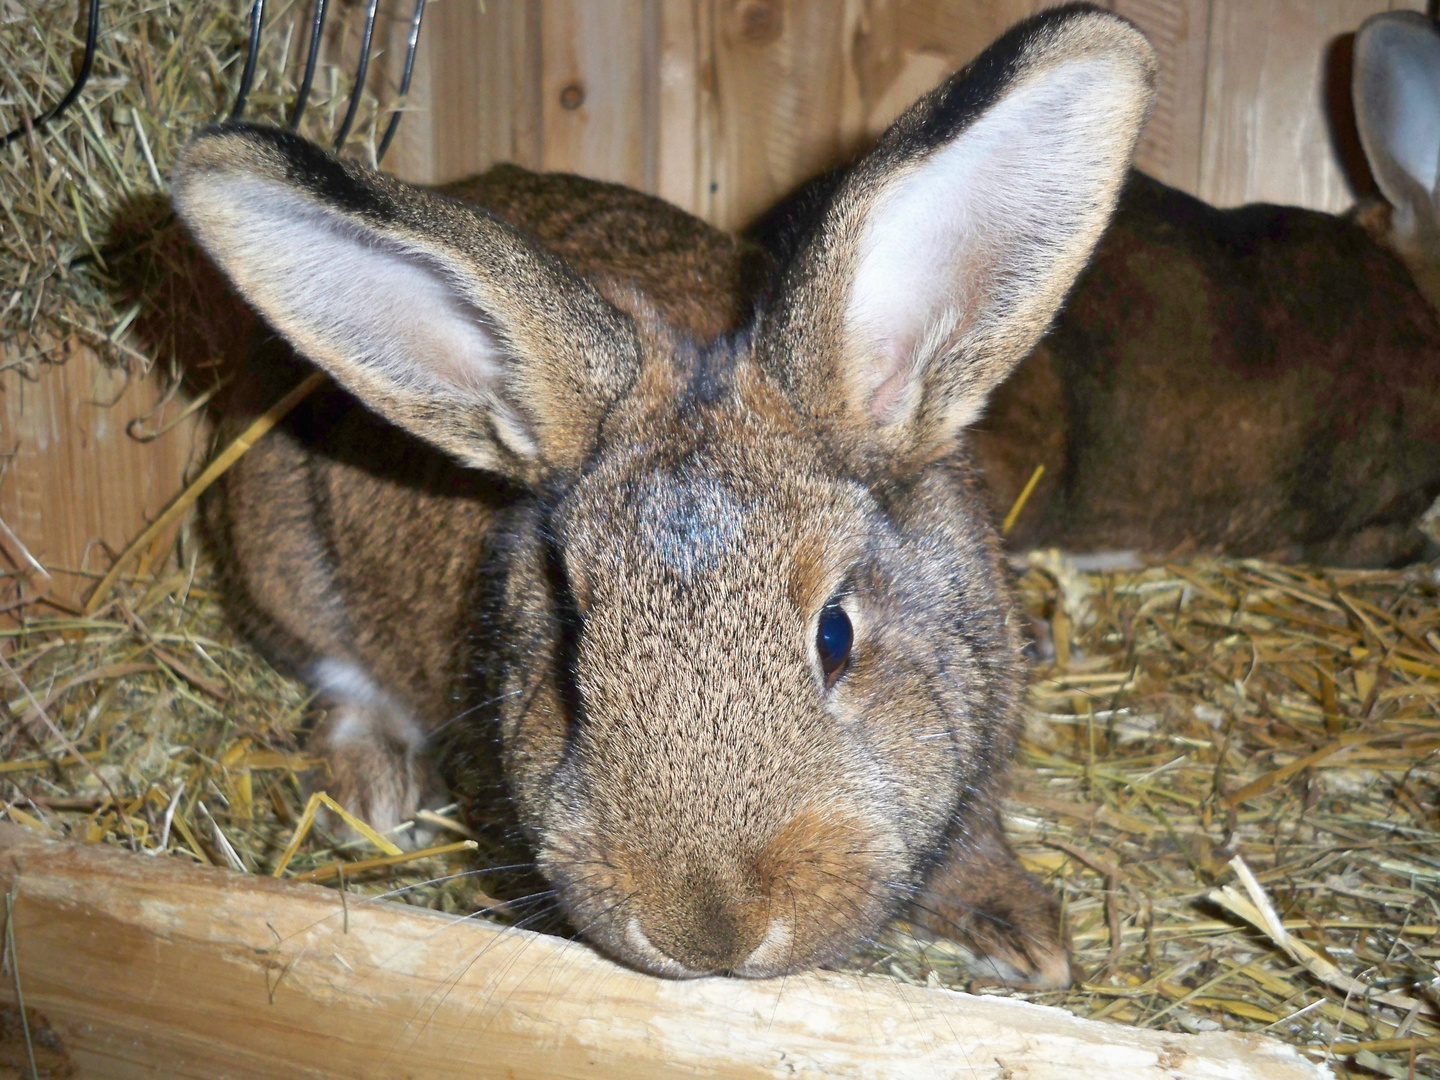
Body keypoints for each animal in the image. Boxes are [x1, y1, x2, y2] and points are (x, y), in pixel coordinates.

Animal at [171, 8, 1157, 990]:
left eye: (835, 636)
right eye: (572, 650)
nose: (705, 933)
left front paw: (1026, 939)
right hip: (282, 561)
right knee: (341, 680)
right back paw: (373, 797)